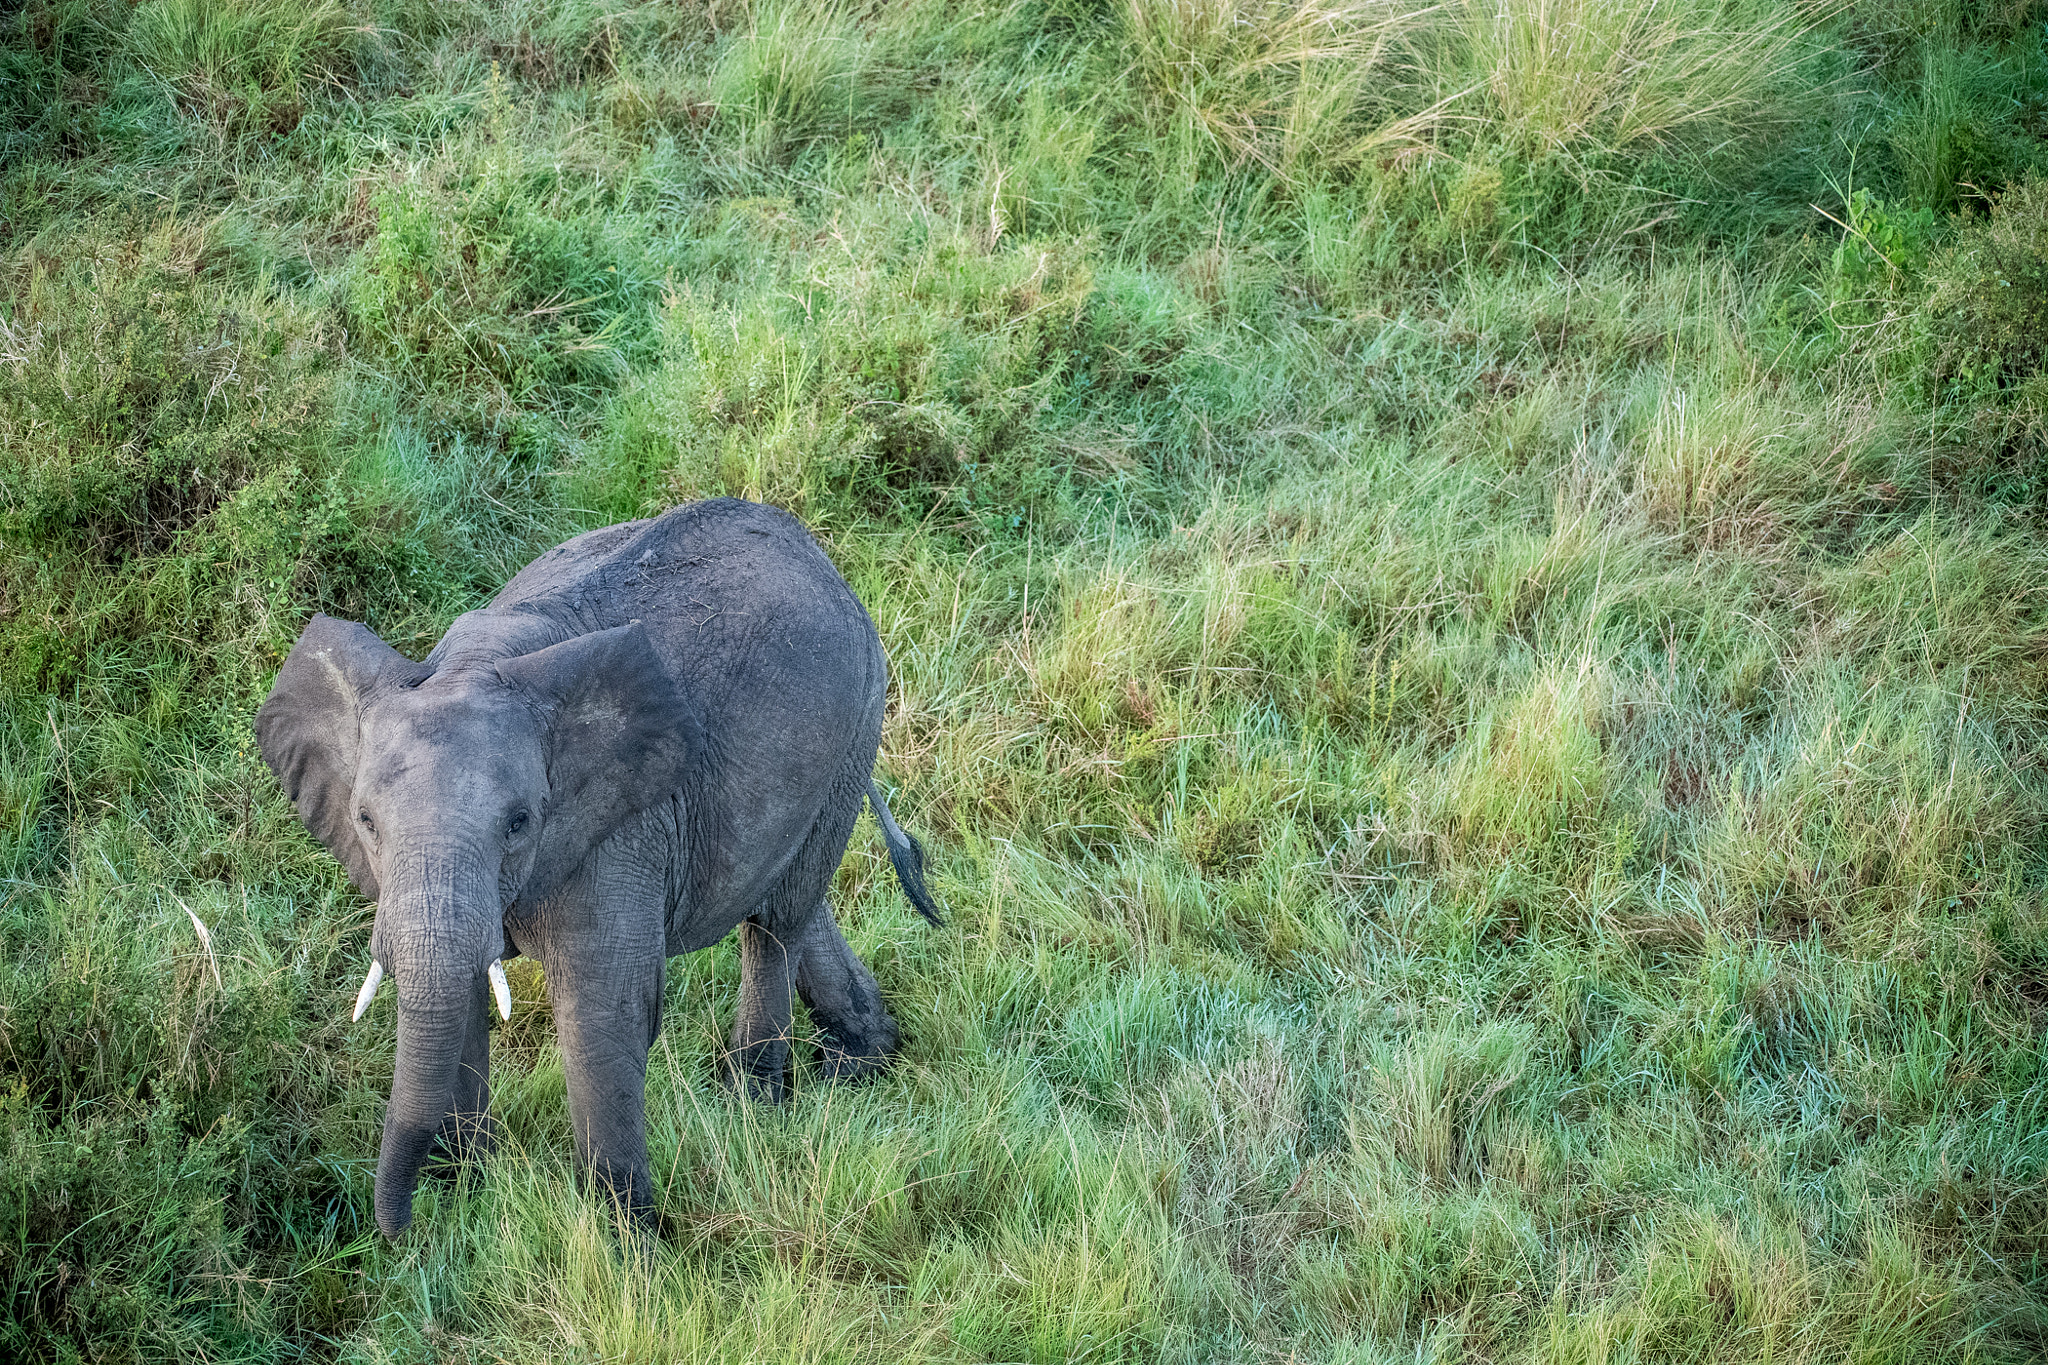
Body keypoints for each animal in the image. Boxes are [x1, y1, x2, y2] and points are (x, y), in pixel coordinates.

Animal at [255, 497, 941, 1238]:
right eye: (365, 821)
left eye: (521, 821)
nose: (403, 1225)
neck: (477, 663)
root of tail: (822, 557)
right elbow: (461, 994)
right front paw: (469, 1200)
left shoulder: (623, 827)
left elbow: (603, 1011)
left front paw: (626, 1244)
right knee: (790, 899)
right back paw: (862, 1059)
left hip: (855, 722)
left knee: (776, 924)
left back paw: (753, 1105)